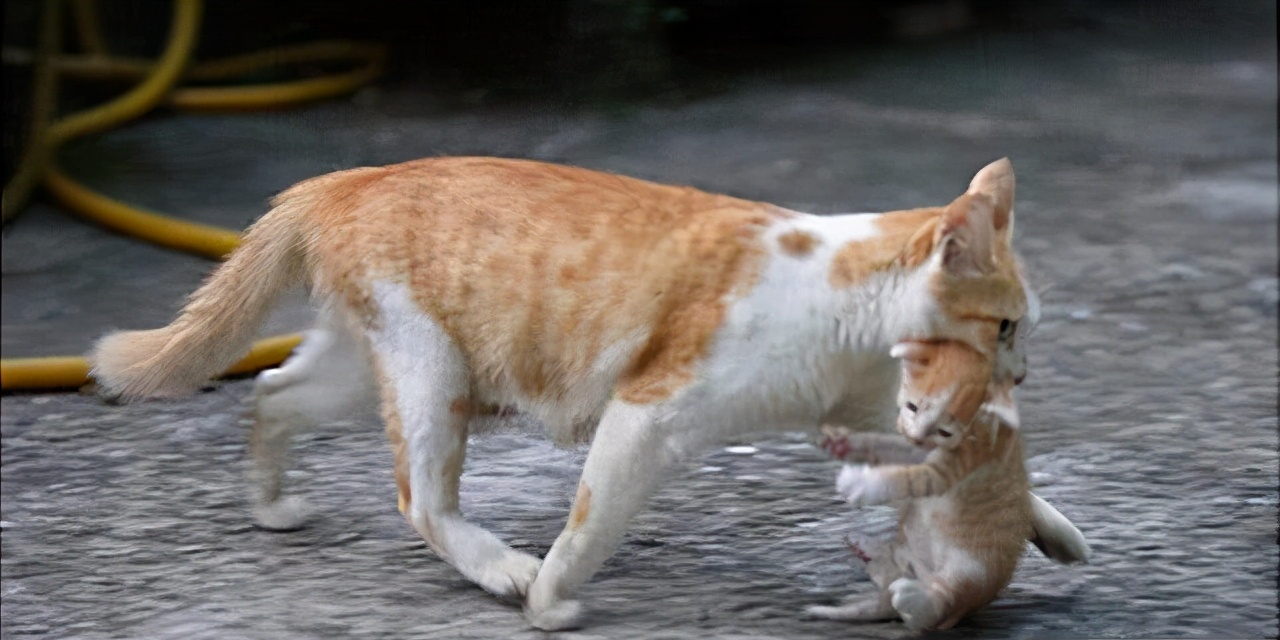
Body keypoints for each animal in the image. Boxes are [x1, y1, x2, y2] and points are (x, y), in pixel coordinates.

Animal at [808, 340, 1090, 629]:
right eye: (912, 407)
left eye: (944, 430)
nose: (918, 437)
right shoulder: (921, 449)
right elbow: (891, 447)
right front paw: (846, 443)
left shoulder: (955, 464)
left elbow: (911, 477)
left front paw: (860, 484)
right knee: (900, 571)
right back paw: (870, 553)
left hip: (971, 572)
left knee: (942, 603)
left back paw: (912, 596)